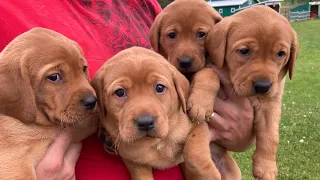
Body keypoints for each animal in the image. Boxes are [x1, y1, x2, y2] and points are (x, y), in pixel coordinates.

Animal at [206, 5, 298, 180]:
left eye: (280, 54)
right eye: (244, 51)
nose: (262, 86)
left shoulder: (271, 103)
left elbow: (271, 135)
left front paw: (267, 167)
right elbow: (209, 75)